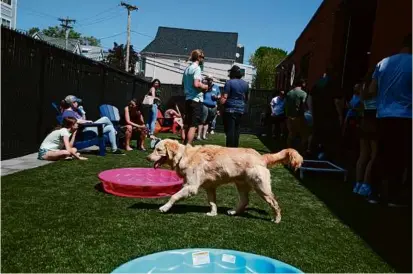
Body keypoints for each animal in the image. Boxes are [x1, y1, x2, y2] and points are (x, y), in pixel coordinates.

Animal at [146, 139, 300, 223]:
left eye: (158, 150)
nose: (147, 157)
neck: (183, 155)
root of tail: (261, 157)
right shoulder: (209, 187)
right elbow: (212, 202)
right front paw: (213, 213)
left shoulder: (191, 187)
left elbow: (174, 196)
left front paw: (165, 207)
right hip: (241, 184)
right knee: (245, 200)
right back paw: (234, 212)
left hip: (261, 188)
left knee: (275, 204)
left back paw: (277, 219)